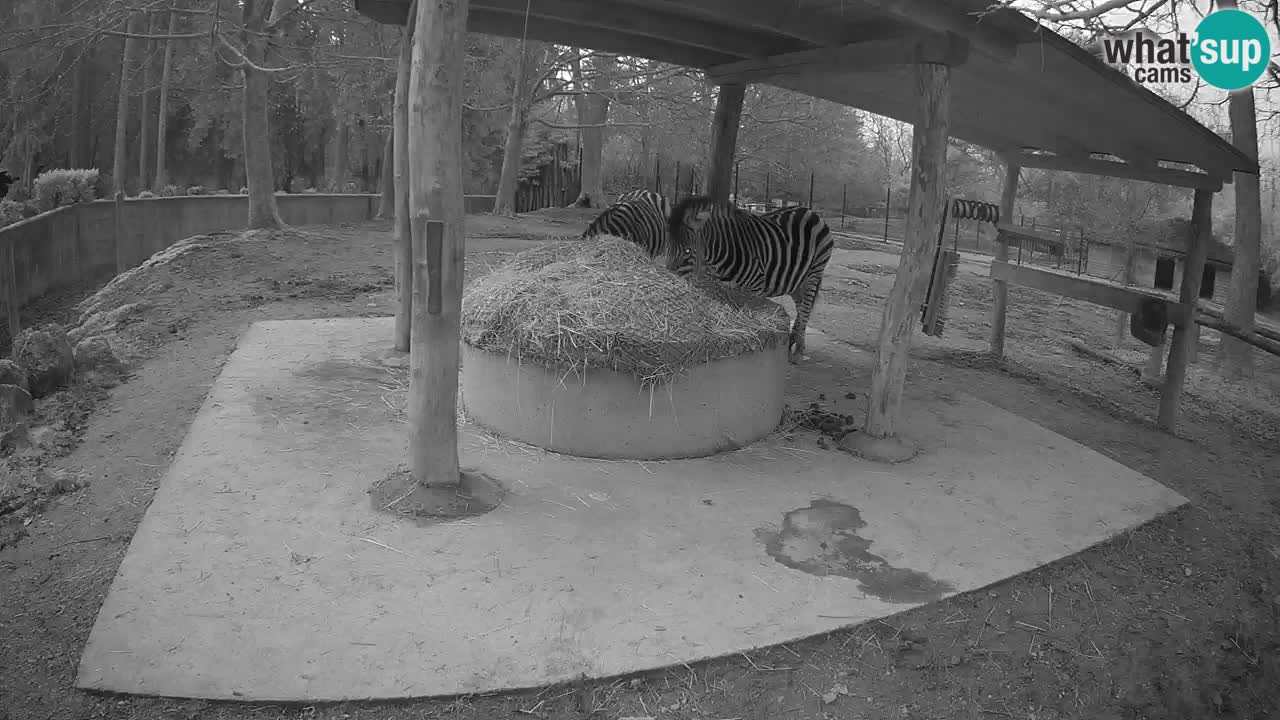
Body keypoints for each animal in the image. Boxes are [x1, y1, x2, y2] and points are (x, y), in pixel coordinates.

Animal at [666, 195, 834, 364]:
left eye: (688, 250)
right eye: (668, 247)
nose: (669, 277)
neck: (725, 247)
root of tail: (810, 211)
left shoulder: (754, 288)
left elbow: (752, 316)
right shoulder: (725, 287)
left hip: (814, 273)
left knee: (805, 309)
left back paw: (798, 352)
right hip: (796, 281)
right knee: (801, 307)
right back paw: (793, 341)